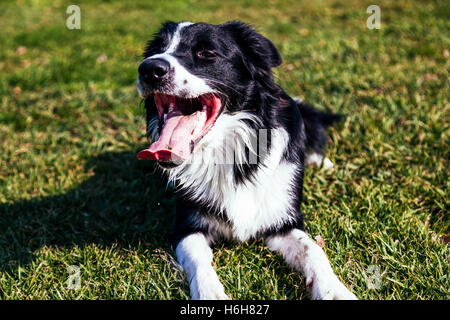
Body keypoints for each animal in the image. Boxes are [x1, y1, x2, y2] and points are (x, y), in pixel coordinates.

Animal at [135, 20, 356, 300]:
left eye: (206, 53)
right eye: (157, 50)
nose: (149, 69)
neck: (229, 154)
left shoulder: (284, 220)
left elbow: (313, 251)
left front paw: (335, 291)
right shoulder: (186, 226)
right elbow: (199, 260)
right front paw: (211, 295)